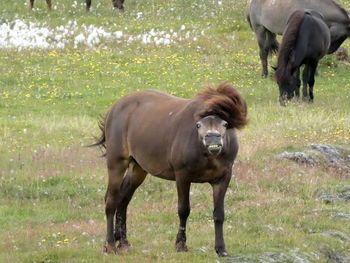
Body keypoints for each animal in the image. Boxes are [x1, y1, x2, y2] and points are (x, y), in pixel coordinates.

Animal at [91, 83, 247, 258]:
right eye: (198, 125)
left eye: (225, 124)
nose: (212, 138)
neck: (208, 155)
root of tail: (115, 107)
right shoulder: (182, 176)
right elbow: (184, 210)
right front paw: (181, 244)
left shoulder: (223, 178)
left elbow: (219, 213)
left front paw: (221, 248)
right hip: (116, 163)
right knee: (111, 200)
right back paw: (110, 245)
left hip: (138, 168)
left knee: (123, 199)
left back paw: (123, 242)